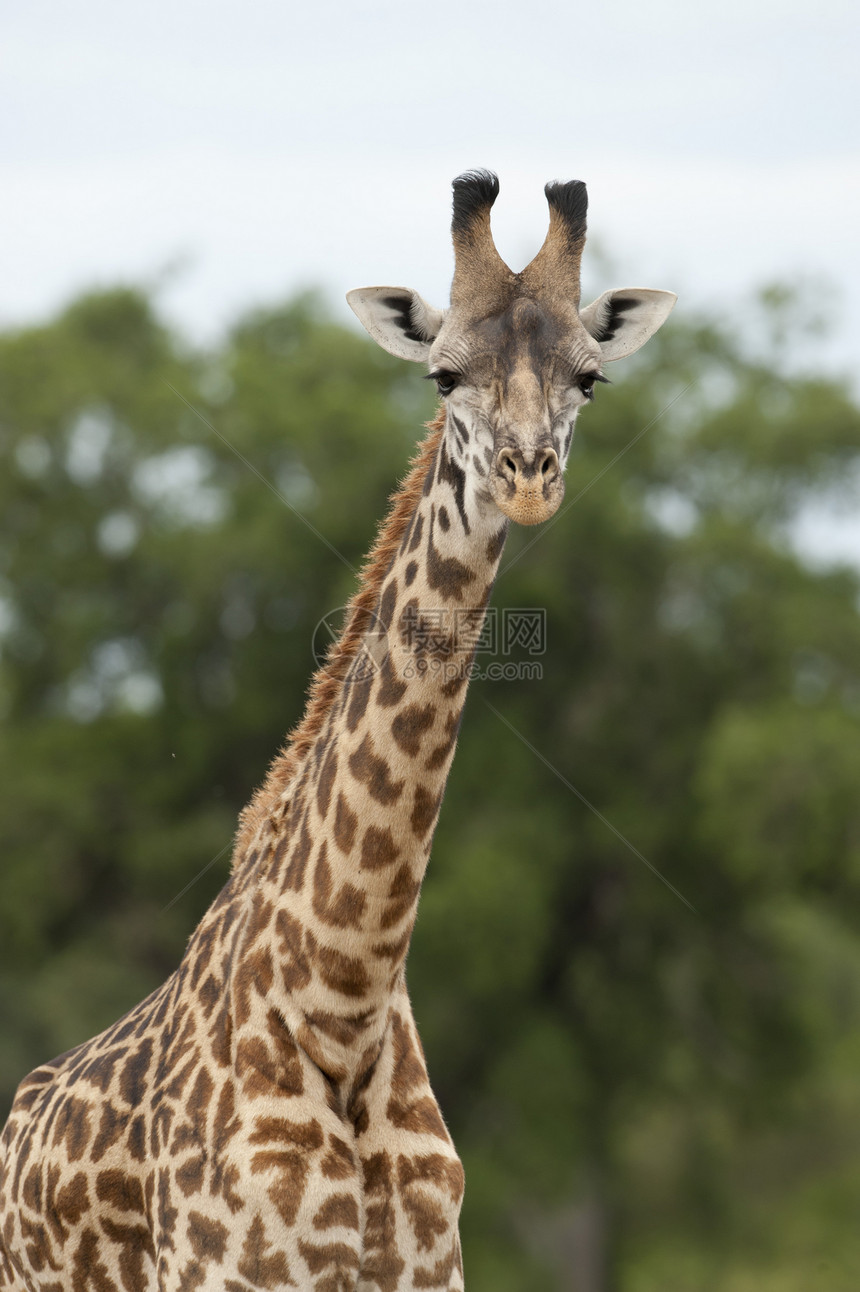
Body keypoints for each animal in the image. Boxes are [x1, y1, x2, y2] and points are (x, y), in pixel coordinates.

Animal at [0, 174, 676, 1292]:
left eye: (590, 378)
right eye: (443, 373)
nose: (528, 475)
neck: (344, 1005)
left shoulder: (432, 1272)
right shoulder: (229, 1273)